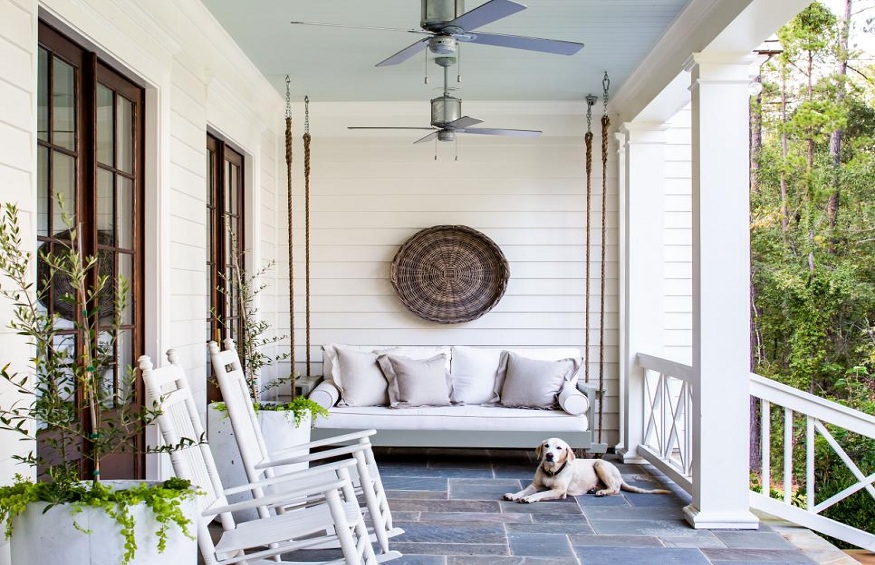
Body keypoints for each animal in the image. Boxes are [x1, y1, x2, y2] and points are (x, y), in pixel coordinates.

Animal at [504, 436, 668, 502]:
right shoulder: (534, 485)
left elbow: (540, 494)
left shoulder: (559, 492)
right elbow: (524, 490)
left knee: (615, 488)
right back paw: (594, 489)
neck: (551, 471)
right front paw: (514, 495)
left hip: (600, 464)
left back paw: (602, 492)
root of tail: (620, 475)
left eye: (559, 448)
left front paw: (529, 498)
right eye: (546, 446)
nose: (549, 455)